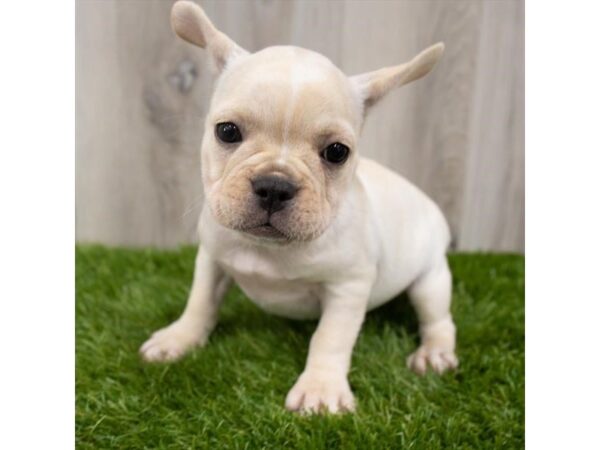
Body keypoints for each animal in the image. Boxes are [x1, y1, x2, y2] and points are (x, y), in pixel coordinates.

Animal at [141, 0, 458, 414]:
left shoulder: (347, 287)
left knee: (438, 317)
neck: (269, 249)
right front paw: (178, 339)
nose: (274, 186)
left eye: (337, 152)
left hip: (430, 278)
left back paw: (433, 353)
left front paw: (321, 390)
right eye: (227, 131)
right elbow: (200, 302)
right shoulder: (211, 259)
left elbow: (329, 338)